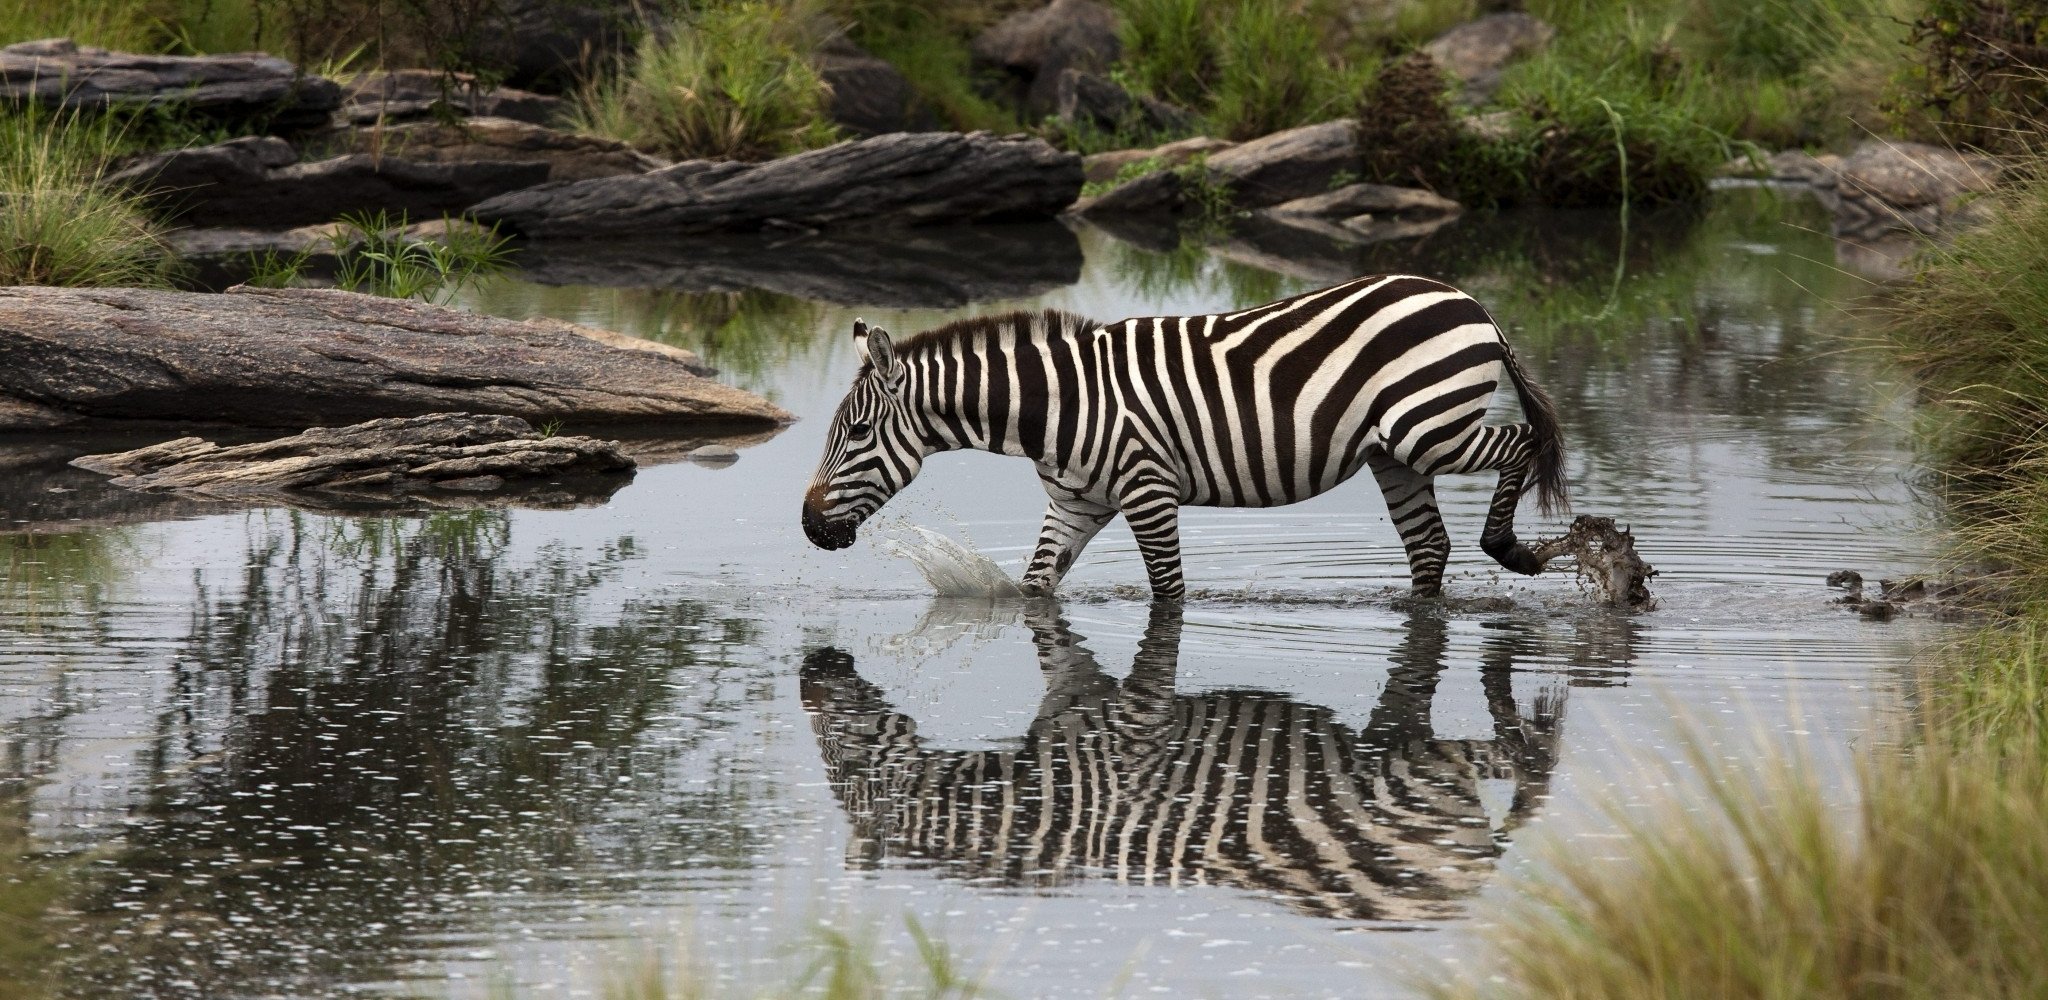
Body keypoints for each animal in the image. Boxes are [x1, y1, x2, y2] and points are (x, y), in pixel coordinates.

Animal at [800, 274, 1568, 600]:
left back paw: (1510, 549)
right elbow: (1035, 588)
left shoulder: (1148, 489)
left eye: (858, 432)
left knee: (1519, 445)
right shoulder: (1076, 504)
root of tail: (1467, 300)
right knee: (1429, 545)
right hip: (1394, 452)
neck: (1056, 406)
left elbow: (1168, 593)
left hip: (1428, 428)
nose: (808, 527)